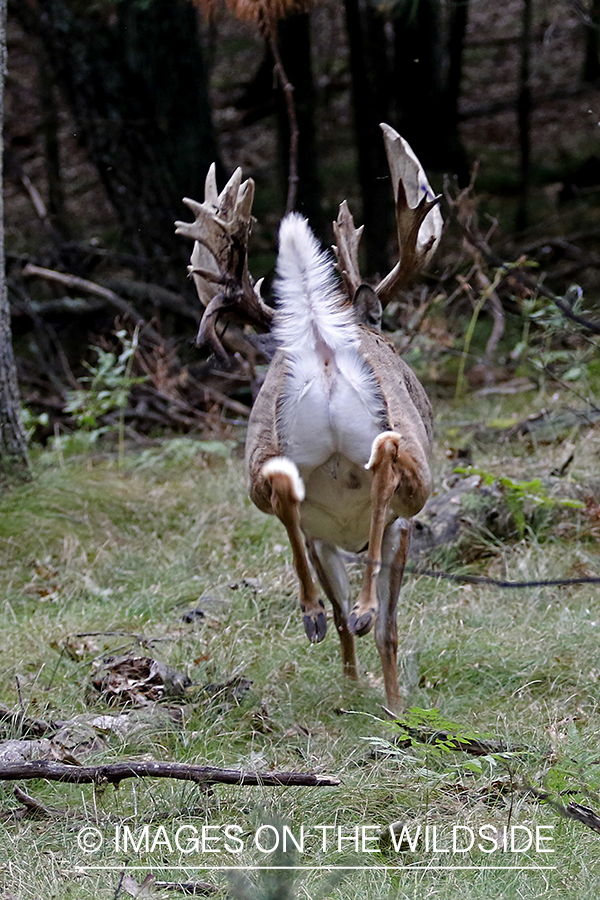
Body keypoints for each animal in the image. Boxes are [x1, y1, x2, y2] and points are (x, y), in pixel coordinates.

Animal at [176, 123, 442, 712]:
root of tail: (320, 341)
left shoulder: (325, 536)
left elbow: (350, 620)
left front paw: (353, 683)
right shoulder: (398, 528)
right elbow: (388, 629)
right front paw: (391, 703)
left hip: (269, 449)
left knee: (281, 484)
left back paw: (312, 614)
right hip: (413, 473)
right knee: (388, 456)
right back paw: (355, 610)